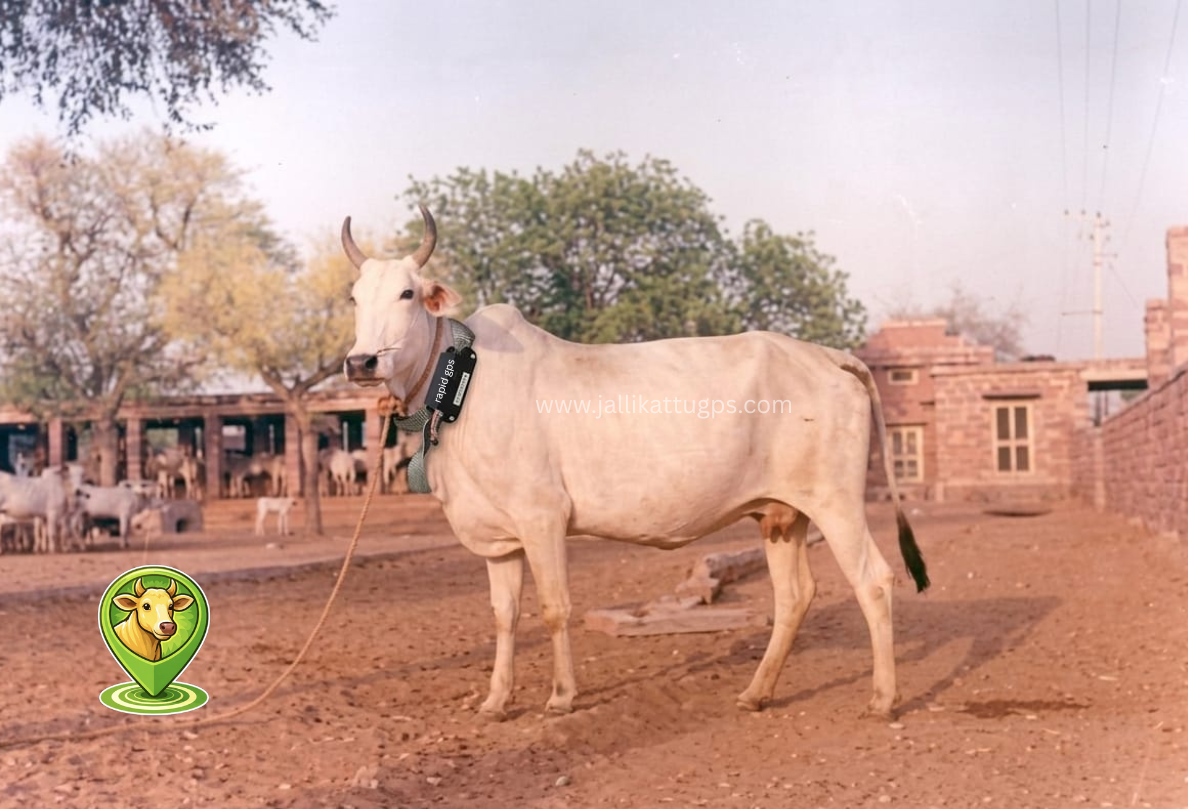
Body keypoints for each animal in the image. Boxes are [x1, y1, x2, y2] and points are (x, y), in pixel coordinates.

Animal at [340, 207, 929, 721]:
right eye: (354, 297)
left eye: (408, 293)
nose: (360, 362)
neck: (462, 382)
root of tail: (828, 355)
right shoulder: (498, 535)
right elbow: (504, 615)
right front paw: (496, 701)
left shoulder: (542, 516)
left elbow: (554, 607)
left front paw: (561, 697)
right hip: (781, 513)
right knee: (794, 596)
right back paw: (756, 693)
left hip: (836, 501)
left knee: (874, 581)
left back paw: (882, 699)